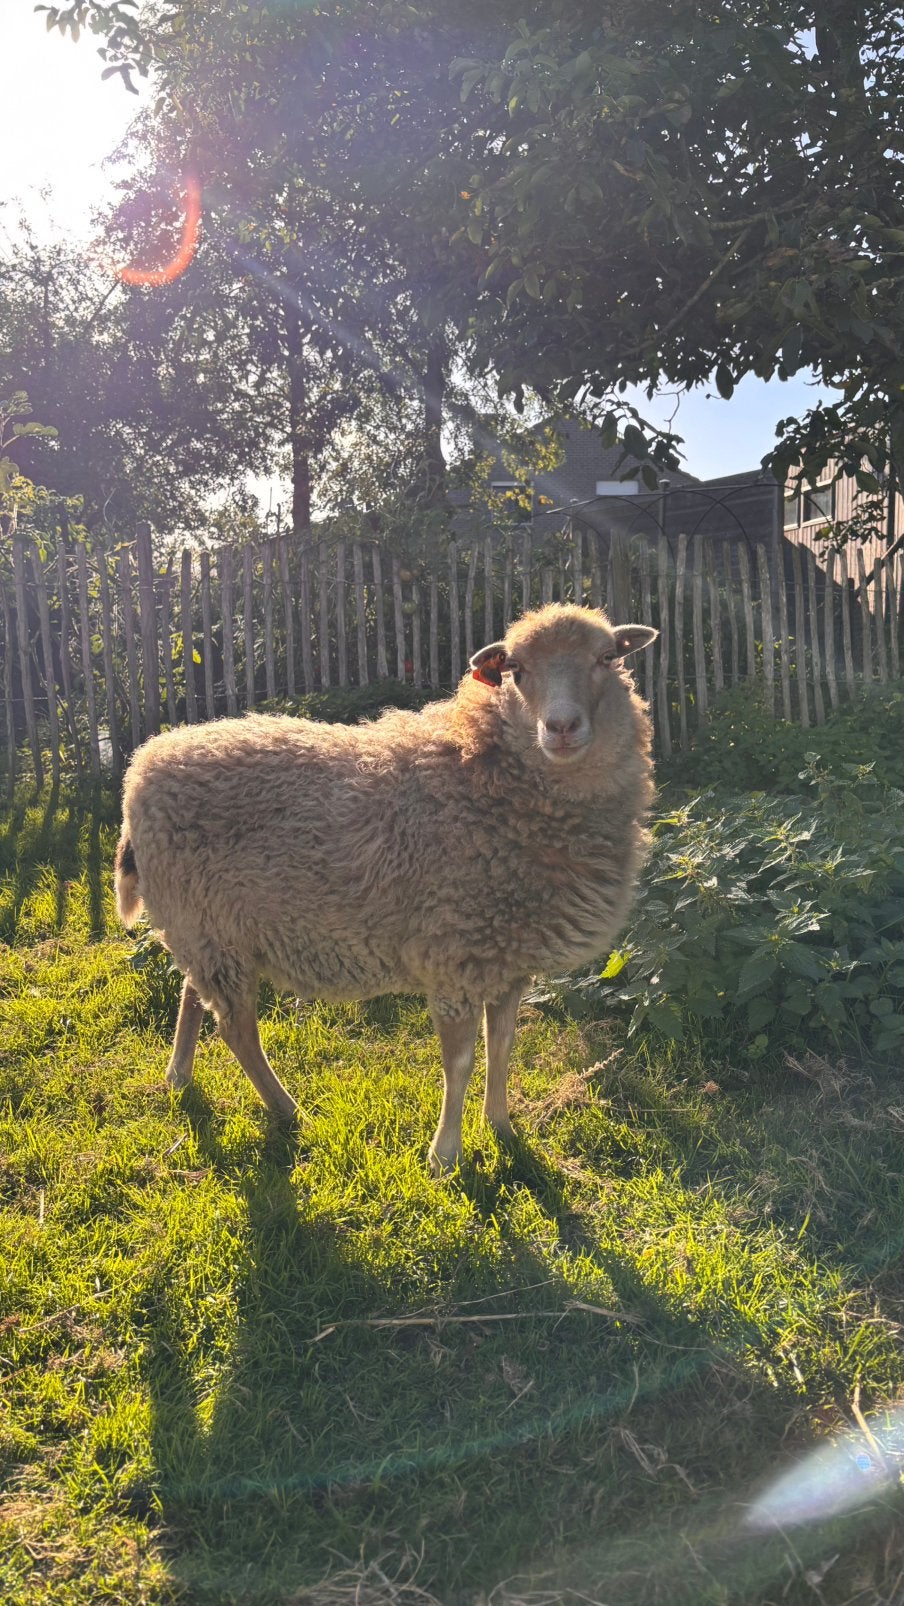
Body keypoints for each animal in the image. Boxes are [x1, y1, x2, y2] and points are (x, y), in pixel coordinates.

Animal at [114, 603, 657, 1172]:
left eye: (606, 658)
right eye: (516, 670)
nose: (561, 727)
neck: (483, 776)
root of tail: (142, 766)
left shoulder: (507, 961)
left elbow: (502, 1046)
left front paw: (502, 1129)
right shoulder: (456, 957)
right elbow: (460, 1062)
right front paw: (445, 1156)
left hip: (206, 927)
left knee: (191, 992)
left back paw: (179, 1075)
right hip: (208, 929)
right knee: (237, 1029)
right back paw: (286, 1108)